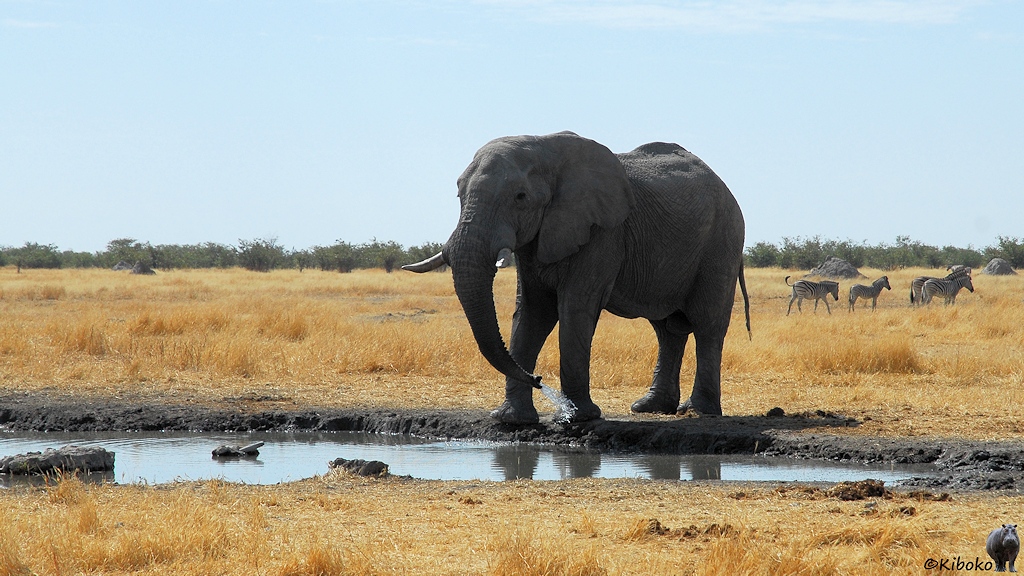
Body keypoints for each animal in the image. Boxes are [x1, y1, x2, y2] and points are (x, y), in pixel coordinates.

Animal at [404, 131, 750, 424]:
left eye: (520, 196)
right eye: (459, 194)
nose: (538, 379)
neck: (544, 148)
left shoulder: (602, 232)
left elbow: (576, 307)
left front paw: (576, 418)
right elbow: (531, 313)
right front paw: (511, 419)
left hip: (722, 241)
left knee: (706, 324)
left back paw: (699, 412)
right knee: (667, 330)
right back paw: (650, 407)